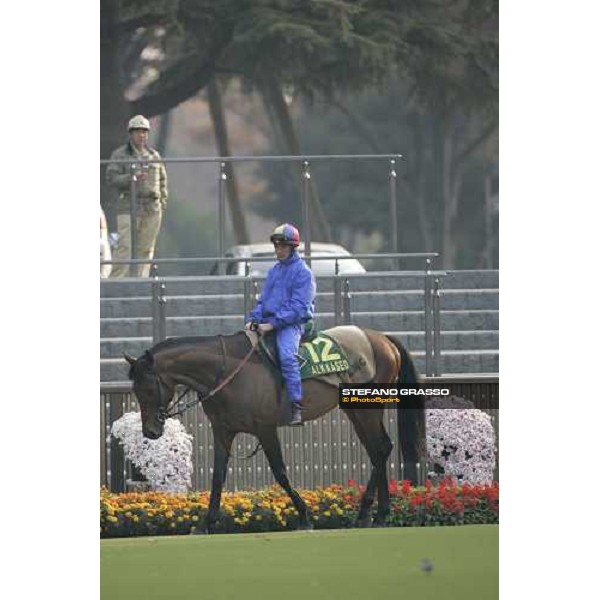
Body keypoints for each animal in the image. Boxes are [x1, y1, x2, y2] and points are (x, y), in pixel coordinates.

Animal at [124, 328, 424, 536]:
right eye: (135, 391)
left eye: (148, 388)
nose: (150, 431)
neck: (228, 371)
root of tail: (382, 339)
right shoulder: (223, 431)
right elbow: (218, 476)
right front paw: (206, 522)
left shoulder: (265, 429)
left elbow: (280, 472)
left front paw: (304, 516)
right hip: (355, 410)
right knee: (377, 450)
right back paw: (373, 514)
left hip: (367, 408)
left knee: (380, 448)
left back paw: (373, 513)